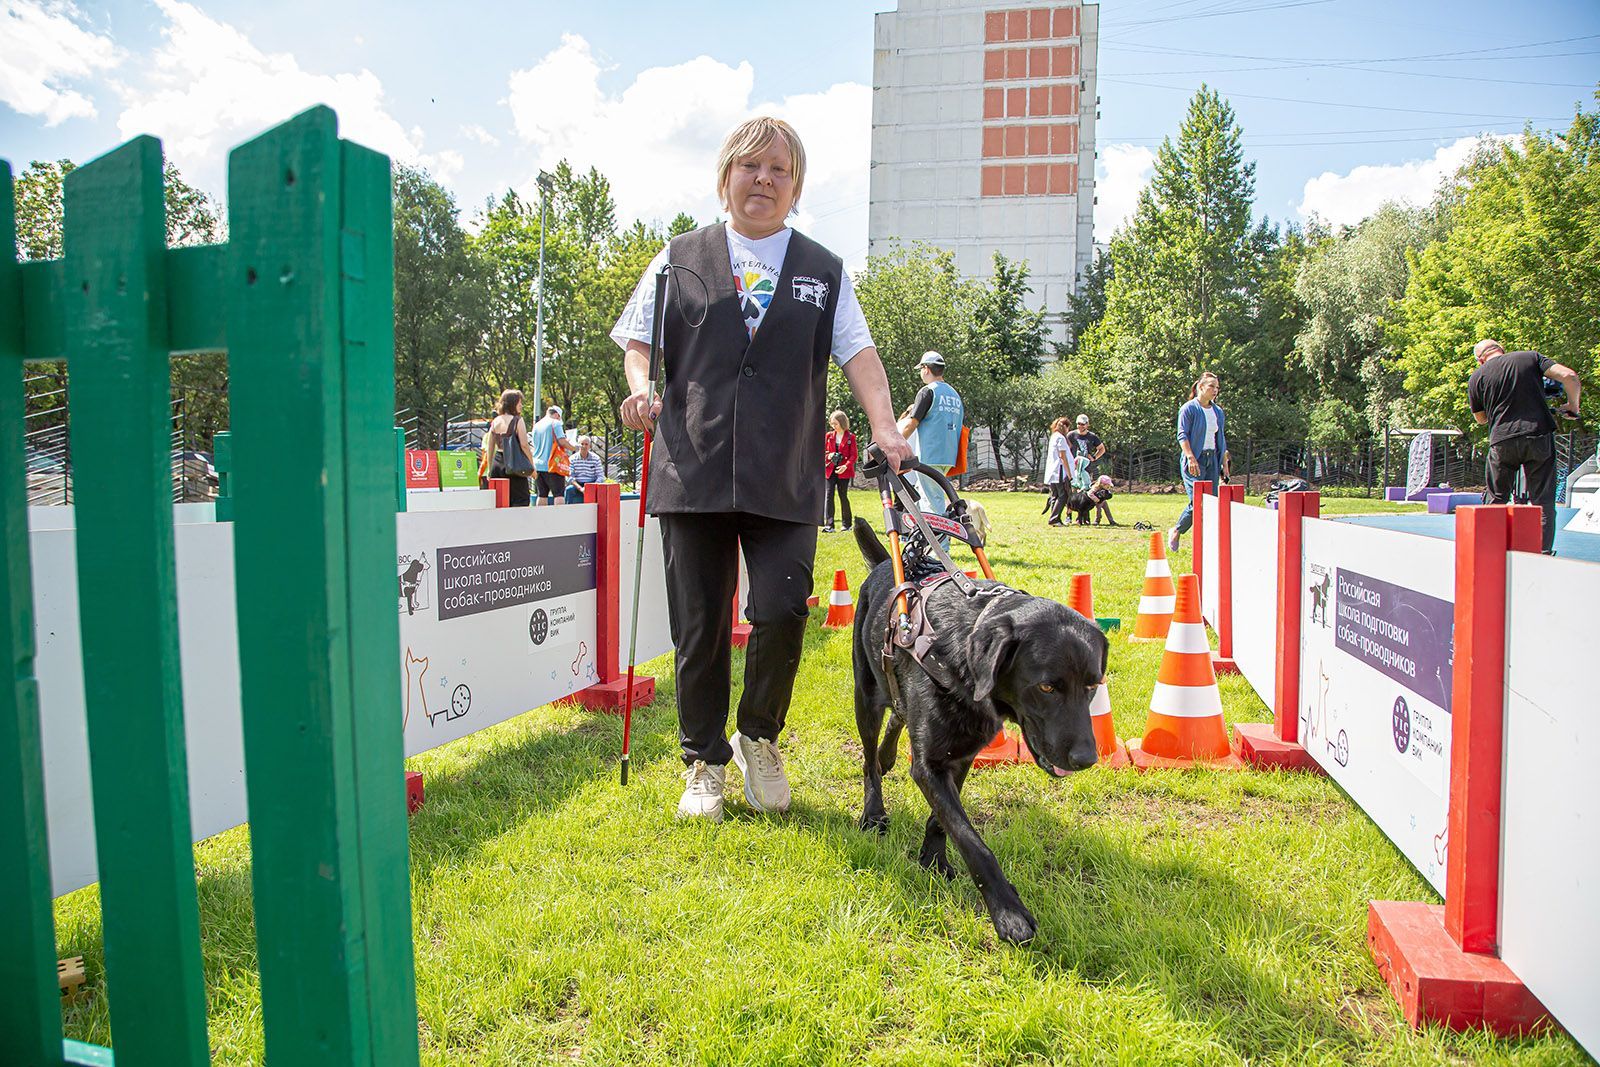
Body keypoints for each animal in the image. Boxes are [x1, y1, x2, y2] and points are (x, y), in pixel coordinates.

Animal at [851, 518, 1100, 940]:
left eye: (1094, 685)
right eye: (1047, 687)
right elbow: (971, 840)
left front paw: (933, 861)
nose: (1087, 759)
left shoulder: (962, 754)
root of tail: (887, 563)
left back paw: (888, 757)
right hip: (864, 695)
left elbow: (942, 822)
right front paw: (1009, 913)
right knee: (869, 760)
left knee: (898, 714)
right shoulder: (932, 765)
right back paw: (873, 812)